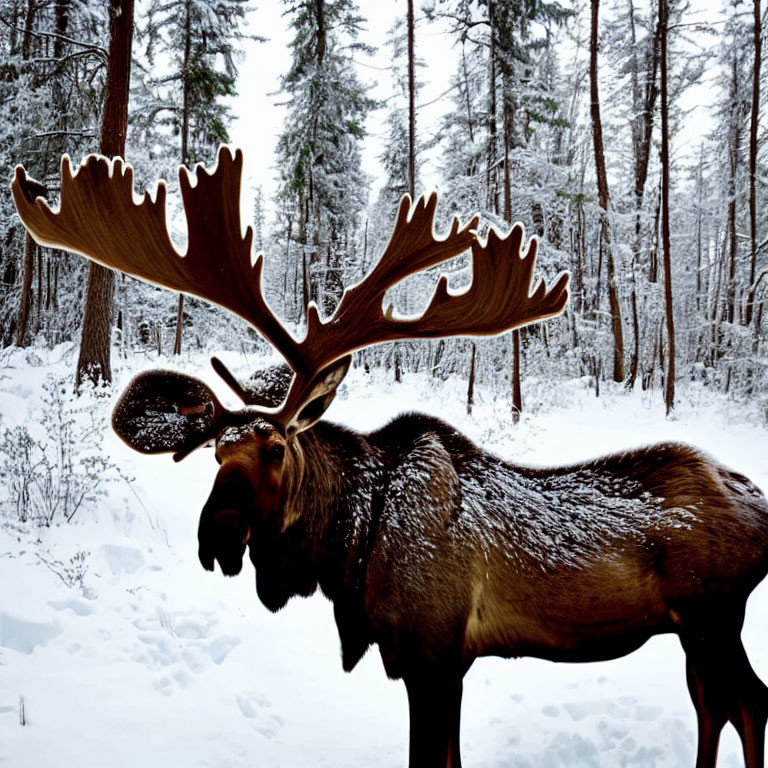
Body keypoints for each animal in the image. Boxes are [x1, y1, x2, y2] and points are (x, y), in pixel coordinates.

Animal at [10, 146, 768, 768]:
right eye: (215, 454)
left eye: (277, 448)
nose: (217, 533)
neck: (346, 551)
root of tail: (758, 504)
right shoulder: (423, 660)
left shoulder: (435, 654)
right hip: (696, 633)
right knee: (716, 708)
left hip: (712, 617)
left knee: (747, 705)